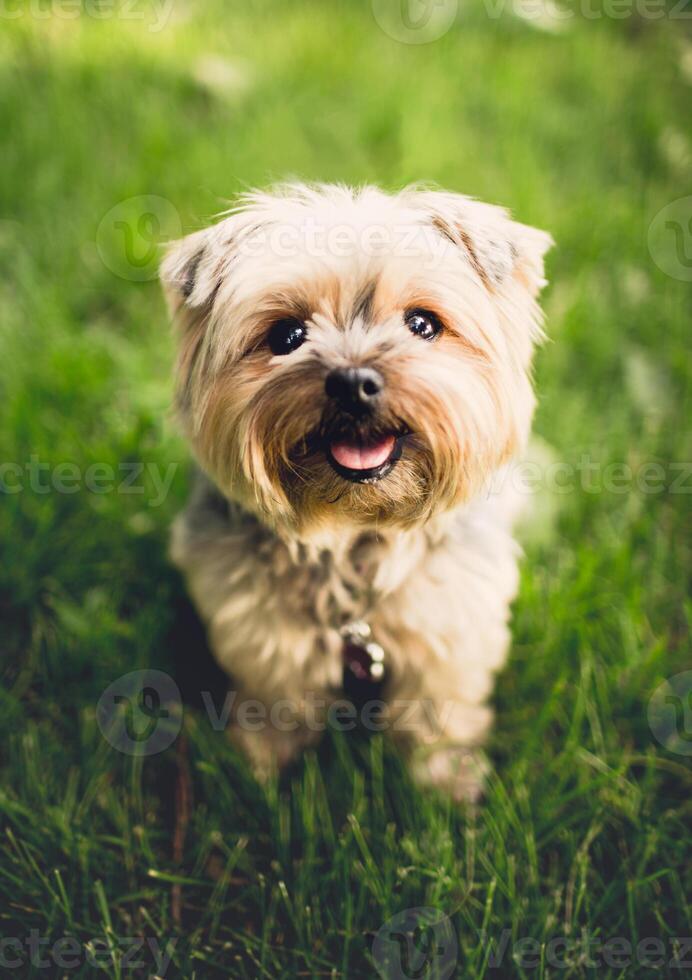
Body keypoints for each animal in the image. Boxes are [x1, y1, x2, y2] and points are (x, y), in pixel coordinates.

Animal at [158, 184, 552, 804]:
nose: (352, 382)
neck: (353, 531)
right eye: (287, 336)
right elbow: (276, 703)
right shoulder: (261, 631)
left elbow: (439, 706)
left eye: (422, 324)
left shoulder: (449, 620)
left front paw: (447, 783)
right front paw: (257, 773)